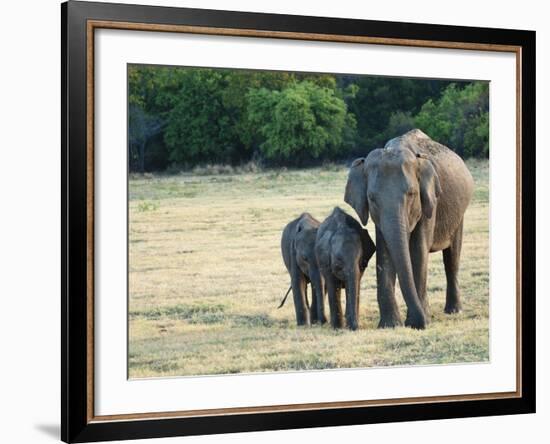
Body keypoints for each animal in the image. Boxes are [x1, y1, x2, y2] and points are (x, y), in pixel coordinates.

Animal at [348, 129, 476, 330]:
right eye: (372, 198)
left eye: (411, 194)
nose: (419, 323)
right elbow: (384, 253)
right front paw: (390, 325)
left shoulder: (430, 202)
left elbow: (418, 251)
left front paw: (420, 320)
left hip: (459, 213)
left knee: (452, 258)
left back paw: (454, 311)